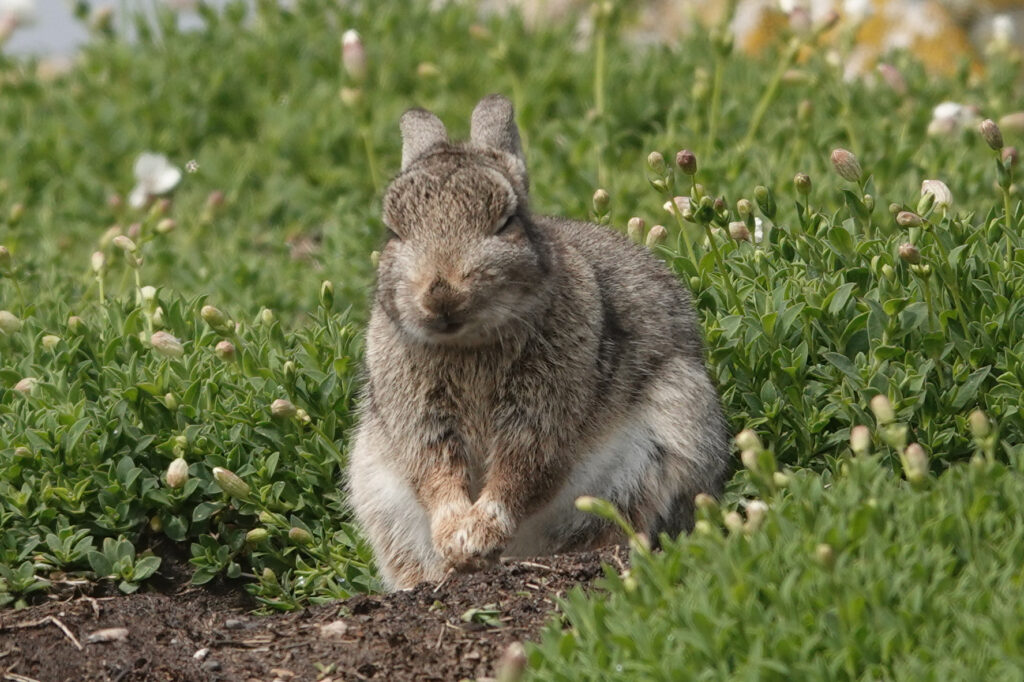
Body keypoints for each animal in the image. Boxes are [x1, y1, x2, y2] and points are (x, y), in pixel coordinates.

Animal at [347, 94, 729, 590]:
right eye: (394, 233)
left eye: (507, 222)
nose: (441, 295)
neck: (470, 343)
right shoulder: (417, 415)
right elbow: (434, 470)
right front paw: (457, 539)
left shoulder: (544, 413)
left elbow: (521, 470)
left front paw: (477, 535)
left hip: (671, 435)